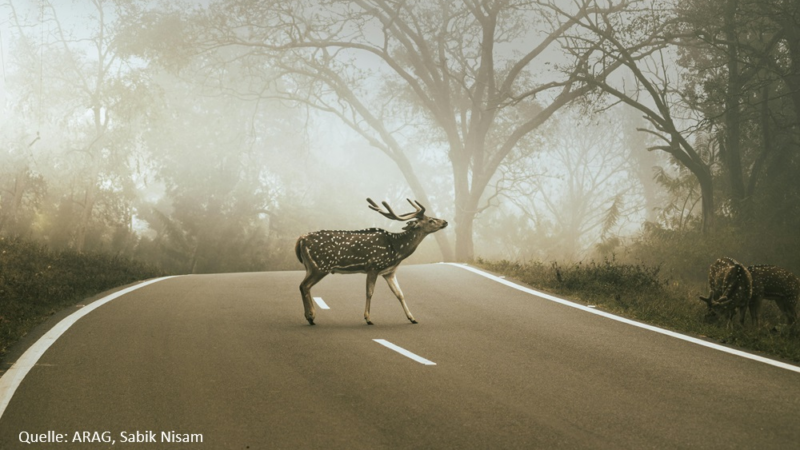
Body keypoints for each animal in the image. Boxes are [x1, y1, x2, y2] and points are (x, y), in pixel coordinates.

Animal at [294, 199, 446, 326]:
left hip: (311, 266)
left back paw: (310, 316)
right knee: (304, 285)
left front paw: (412, 318)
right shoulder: (373, 266)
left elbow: (400, 293)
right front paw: (368, 318)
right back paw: (311, 316)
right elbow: (369, 292)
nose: (445, 221)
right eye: (431, 220)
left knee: (304, 286)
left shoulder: (389, 272)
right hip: (320, 266)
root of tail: (300, 239)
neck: (396, 249)